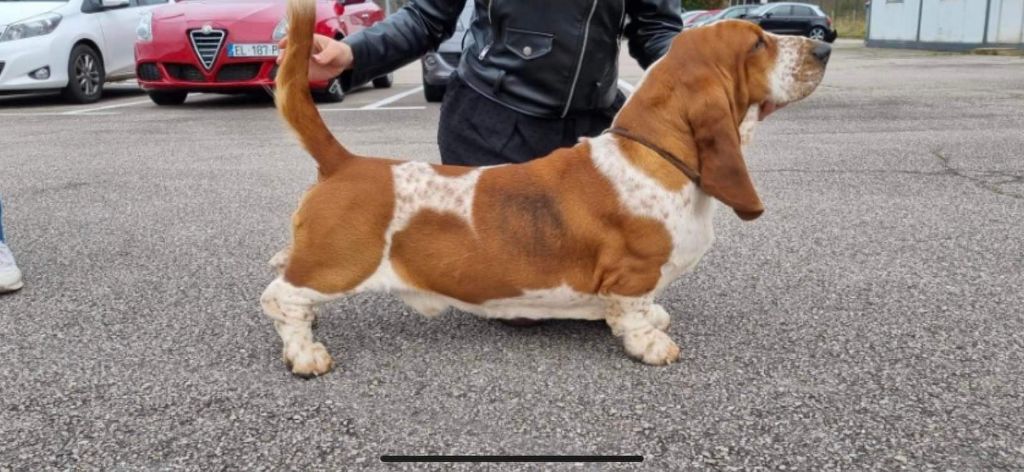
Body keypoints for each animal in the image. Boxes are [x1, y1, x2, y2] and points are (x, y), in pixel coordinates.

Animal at [263, 0, 830, 377]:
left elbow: (649, 306)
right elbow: (632, 313)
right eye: (757, 42)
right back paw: (306, 353)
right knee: (279, 296)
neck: (655, 154)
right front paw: (650, 344)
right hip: (339, 266)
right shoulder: (631, 275)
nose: (824, 45)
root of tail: (345, 162)